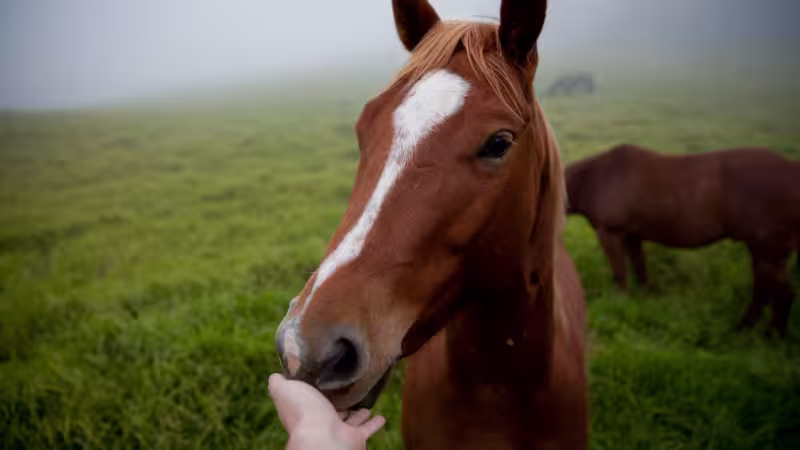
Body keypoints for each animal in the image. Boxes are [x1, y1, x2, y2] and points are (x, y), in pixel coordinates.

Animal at [565, 144, 800, 337]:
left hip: (769, 253)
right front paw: (644, 301)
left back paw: (771, 337)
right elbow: (640, 271)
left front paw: (619, 306)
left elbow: (620, 275)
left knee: (782, 295)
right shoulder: (633, 236)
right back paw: (744, 330)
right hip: (762, 252)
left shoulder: (610, 233)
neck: (593, 178)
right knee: (763, 291)